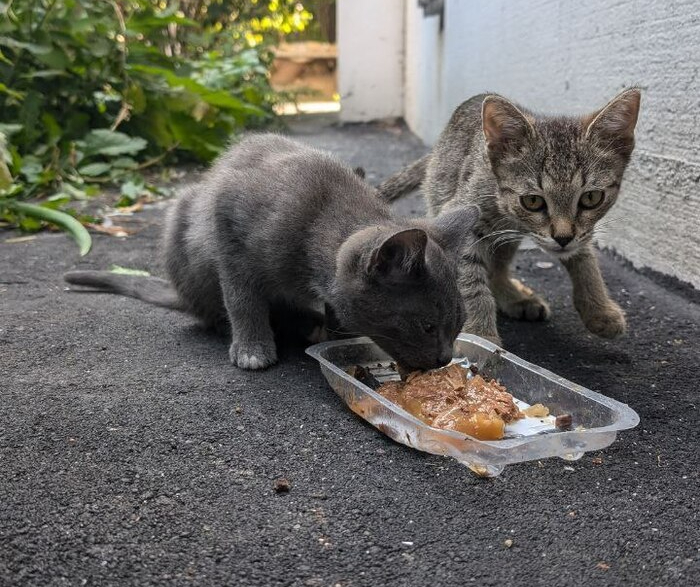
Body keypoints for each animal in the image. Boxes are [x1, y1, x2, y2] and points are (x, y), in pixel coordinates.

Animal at [65, 136, 478, 370]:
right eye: (427, 327)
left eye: (459, 324)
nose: (445, 358)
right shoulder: (228, 224)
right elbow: (242, 298)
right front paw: (252, 350)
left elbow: (334, 305)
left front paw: (335, 334)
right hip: (182, 216)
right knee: (215, 308)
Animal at [380, 88, 644, 344]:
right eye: (533, 201)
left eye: (591, 198)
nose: (562, 238)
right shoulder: (459, 216)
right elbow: (471, 282)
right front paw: (479, 335)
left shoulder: (578, 233)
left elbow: (585, 258)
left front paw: (599, 309)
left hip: (505, 238)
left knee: (498, 266)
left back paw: (515, 296)